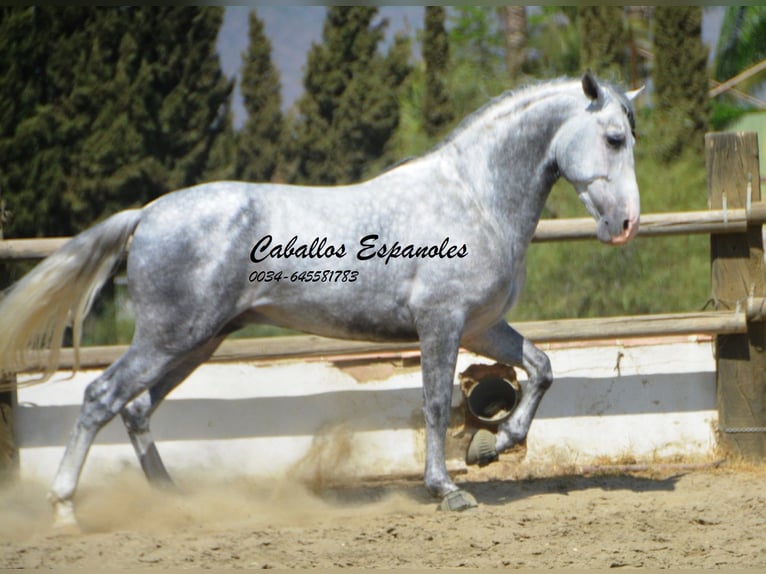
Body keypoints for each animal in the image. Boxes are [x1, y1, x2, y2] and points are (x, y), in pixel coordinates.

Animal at [0, 72, 644, 528]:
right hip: (169, 337)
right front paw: (448, 489)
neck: (474, 198)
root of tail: (148, 213)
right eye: (614, 138)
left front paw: (495, 446)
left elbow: (541, 368)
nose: (626, 224)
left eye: (631, 137)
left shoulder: (483, 326)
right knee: (101, 398)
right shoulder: (441, 323)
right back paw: (65, 510)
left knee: (135, 409)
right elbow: (436, 404)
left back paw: (172, 500)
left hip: (197, 342)